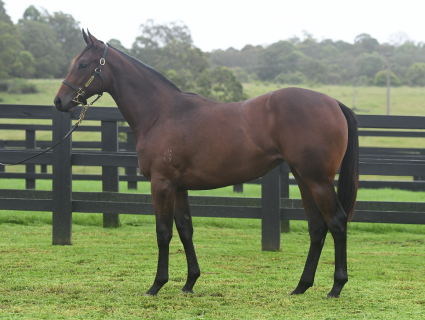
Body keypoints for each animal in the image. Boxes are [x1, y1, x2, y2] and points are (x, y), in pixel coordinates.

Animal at [53, 30, 358, 298]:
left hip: (318, 180)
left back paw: (336, 287)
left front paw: (156, 285)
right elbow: (185, 230)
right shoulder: (179, 187)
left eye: (83, 64)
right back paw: (301, 286)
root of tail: (332, 102)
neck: (161, 113)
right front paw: (190, 282)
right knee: (317, 227)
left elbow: (163, 232)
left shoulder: (162, 184)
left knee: (337, 222)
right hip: (304, 178)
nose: (59, 101)